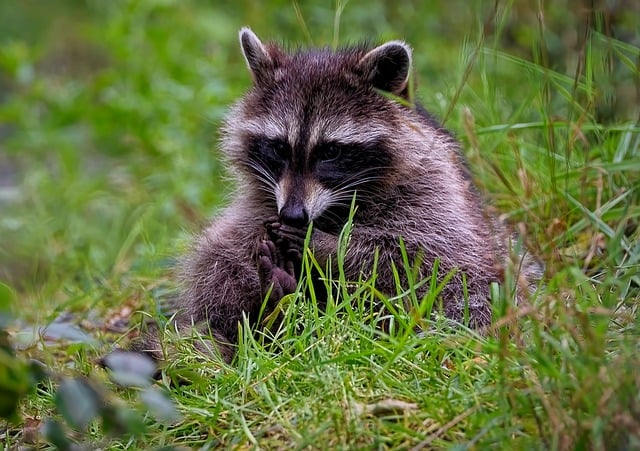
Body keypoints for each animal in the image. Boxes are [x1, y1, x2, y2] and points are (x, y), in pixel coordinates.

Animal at [144, 29, 540, 364]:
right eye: (278, 148)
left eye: (331, 152)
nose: (293, 216)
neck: (336, 207)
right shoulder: (261, 205)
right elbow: (221, 258)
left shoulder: (435, 195)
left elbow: (423, 257)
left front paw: (326, 246)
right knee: (218, 260)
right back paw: (277, 301)